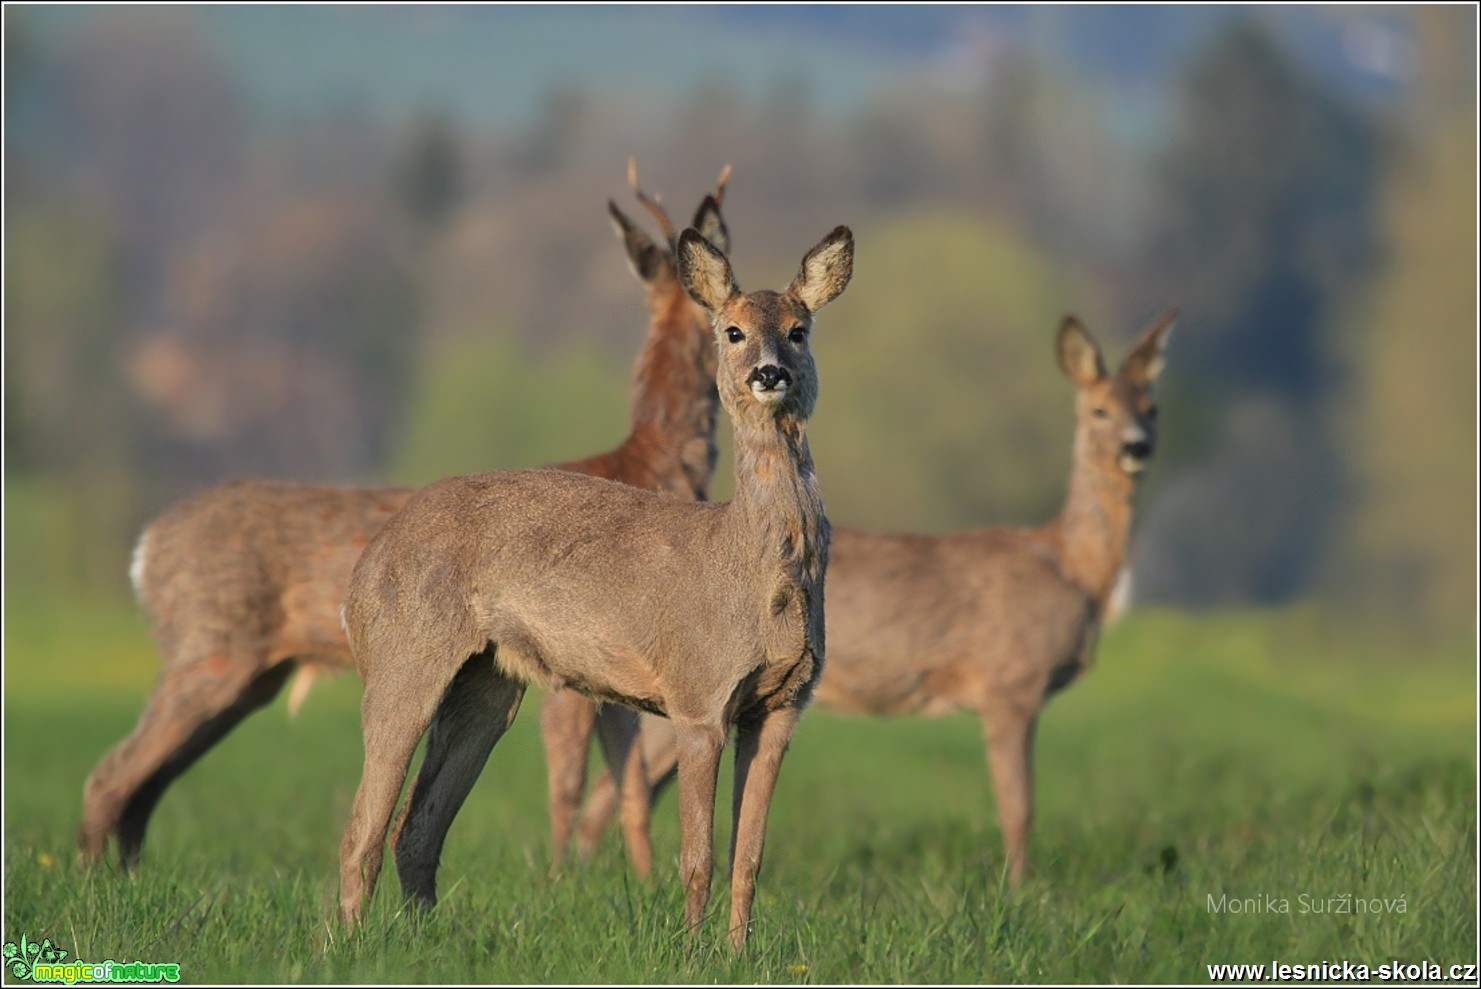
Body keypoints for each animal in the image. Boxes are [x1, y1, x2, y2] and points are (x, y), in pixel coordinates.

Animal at [75, 165, 734, 870]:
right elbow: (573, 784)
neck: (649, 462)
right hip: (211, 645)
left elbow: (629, 786)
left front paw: (641, 882)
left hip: (246, 673)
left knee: (143, 785)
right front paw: (561, 878)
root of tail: (147, 545)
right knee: (111, 775)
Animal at [330, 223, 853, 947]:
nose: (768, 373)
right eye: (733, 330)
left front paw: (739, 951)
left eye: (799, 330)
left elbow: (749, 856)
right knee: (361, 828)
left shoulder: (782, 706)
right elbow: (698, 856)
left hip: (487, 683)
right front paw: (694, 951)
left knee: (418, 825)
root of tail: (361, 571)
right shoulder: (699, 693)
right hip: (402, 652)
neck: (751, 566)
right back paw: (349, 946)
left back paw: (421, 939)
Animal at [559, 306, 1172, 882]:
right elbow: (1018, 809)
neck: (1069, 564)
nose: (1137, 447)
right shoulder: (1010, 682)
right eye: (1098, 410)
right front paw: (1021, 890)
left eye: (1153, 407)